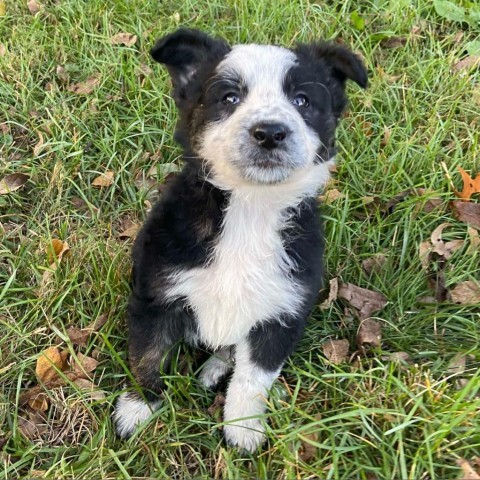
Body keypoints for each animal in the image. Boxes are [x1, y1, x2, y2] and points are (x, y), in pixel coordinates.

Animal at [113, 28, 368, 452]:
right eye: (229, 98)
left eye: (302, 100)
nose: (270, 133)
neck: (250, 208)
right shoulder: (158, 291)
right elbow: (147, 354)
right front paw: (138, 409)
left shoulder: (281, 311)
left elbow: (254, 378)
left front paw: (243, 428)